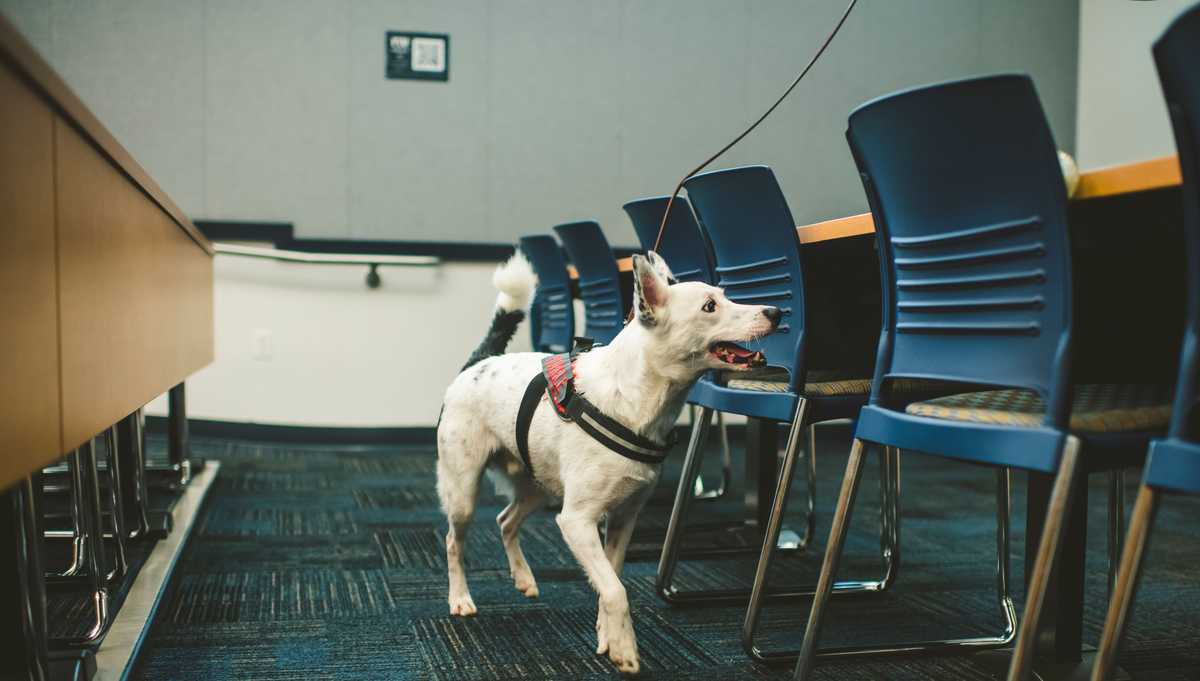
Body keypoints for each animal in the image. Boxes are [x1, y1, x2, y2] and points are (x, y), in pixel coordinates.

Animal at [436, 248, 782, 671]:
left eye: (724, 295)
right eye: (709, 306)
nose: (775, 311)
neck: (636, 399)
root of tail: (480, 361)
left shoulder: (623, 516)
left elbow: (610, 578)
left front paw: (608, 636)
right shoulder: (576, 521)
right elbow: (616, 590)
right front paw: (625, 651)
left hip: (538, 487)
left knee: (506, 521)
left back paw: (524, 578)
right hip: (463, 491)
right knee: (454, 541)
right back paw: (460, 598)